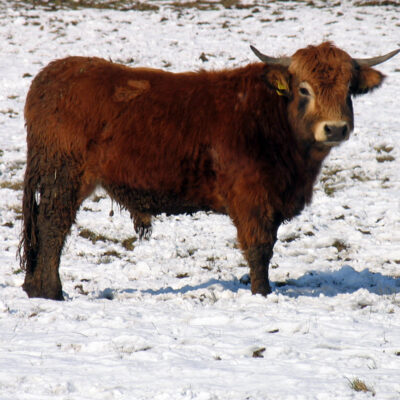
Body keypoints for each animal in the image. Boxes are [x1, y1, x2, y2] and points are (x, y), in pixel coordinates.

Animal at [20, 43, 398, 300]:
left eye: (348, 90)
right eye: (304, 89)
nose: (335, 128)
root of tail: (53, 73)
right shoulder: (251, 197)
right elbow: (259, 247)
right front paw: (262, 293)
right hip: (64, 176)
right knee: (53, 226)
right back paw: (49, 291)